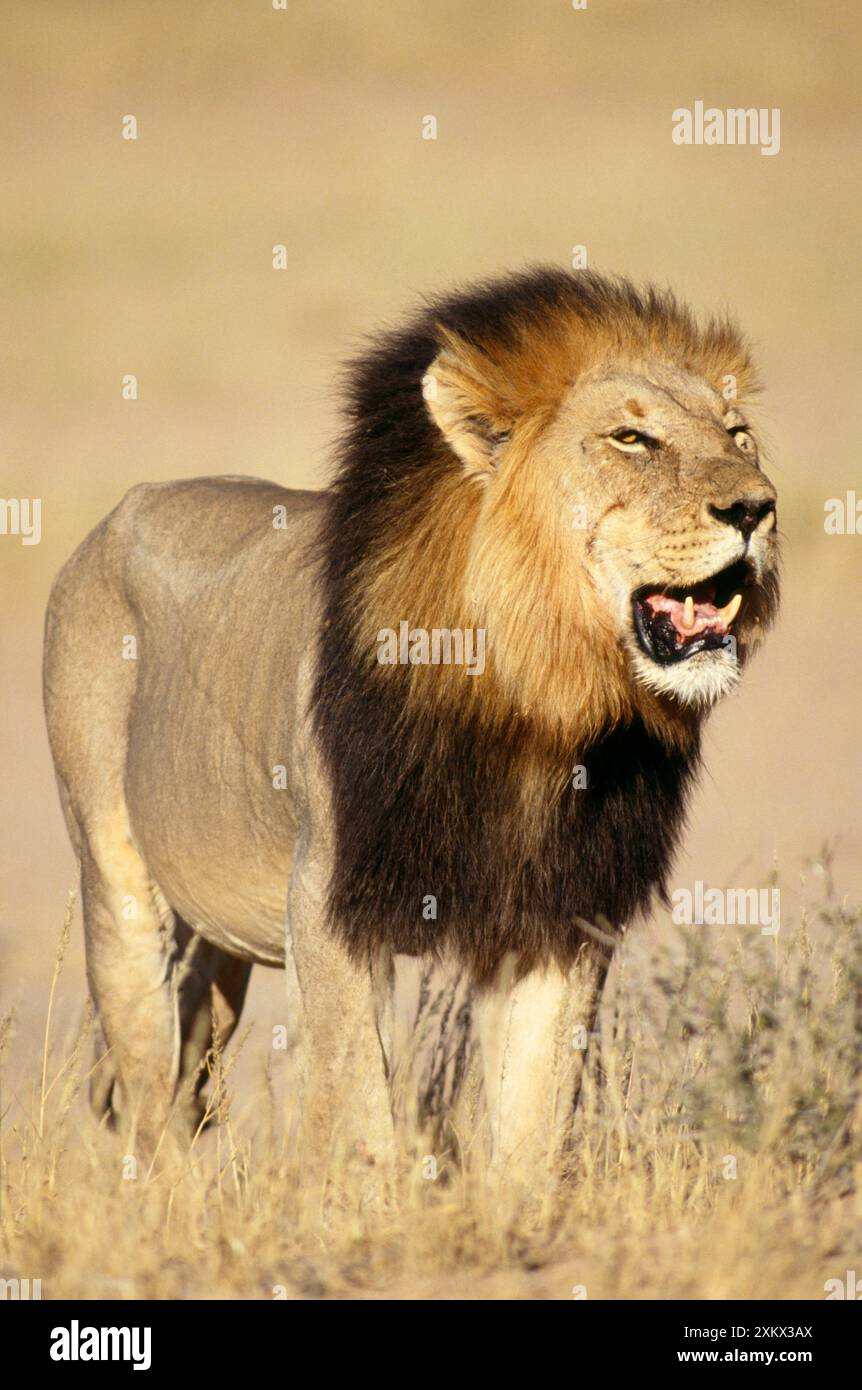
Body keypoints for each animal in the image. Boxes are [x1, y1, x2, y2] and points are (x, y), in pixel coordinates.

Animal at [43, 267, 779, 1185]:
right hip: (114, 883)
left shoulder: (560, 916)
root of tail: (118, 513)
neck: (534, 701)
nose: (758, 508)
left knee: (184, 1074)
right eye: (631, 438)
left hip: (216, 947)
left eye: (739, 435)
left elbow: (534, 1113)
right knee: (147, 1091)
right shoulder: (327, 895)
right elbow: (359, 1102)